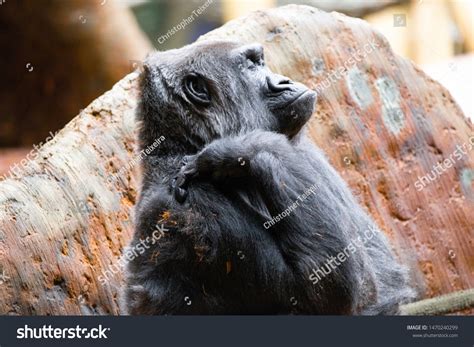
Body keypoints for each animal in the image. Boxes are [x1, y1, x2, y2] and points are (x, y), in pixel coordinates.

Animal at [123, 40, 414, 316]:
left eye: (261, 61)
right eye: (251, 65)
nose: (284, 80)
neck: (186, 142)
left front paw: (232, 151)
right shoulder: (191, 208)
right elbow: (325, 295)